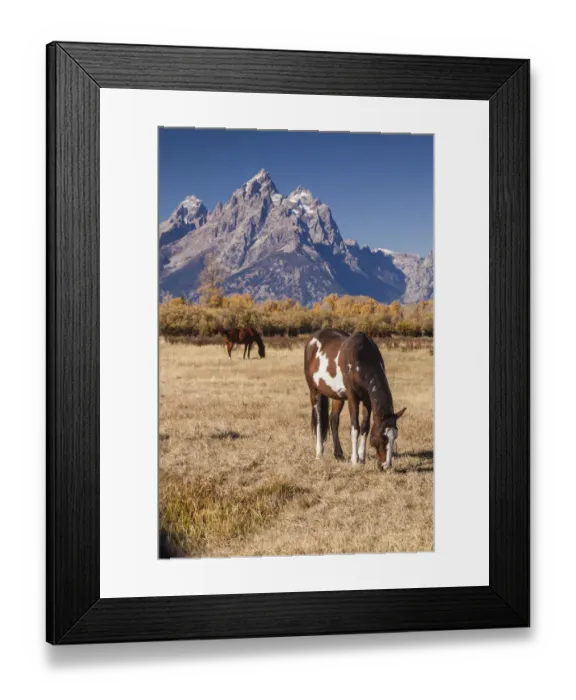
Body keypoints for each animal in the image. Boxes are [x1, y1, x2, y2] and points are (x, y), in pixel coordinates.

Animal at [304, 328, 406, 470]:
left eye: (394, 436)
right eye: (382, 437)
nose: (386, 466)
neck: (362, 360)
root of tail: (312, 339)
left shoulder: (367, 400)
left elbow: (365, 427)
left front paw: (362, 458)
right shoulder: (353, 397)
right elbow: (355, 427)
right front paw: (355, 460)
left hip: (338, 396)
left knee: (333, 420)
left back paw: (338, 454)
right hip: (315, 391)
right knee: (318, 420)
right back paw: (319, 454)